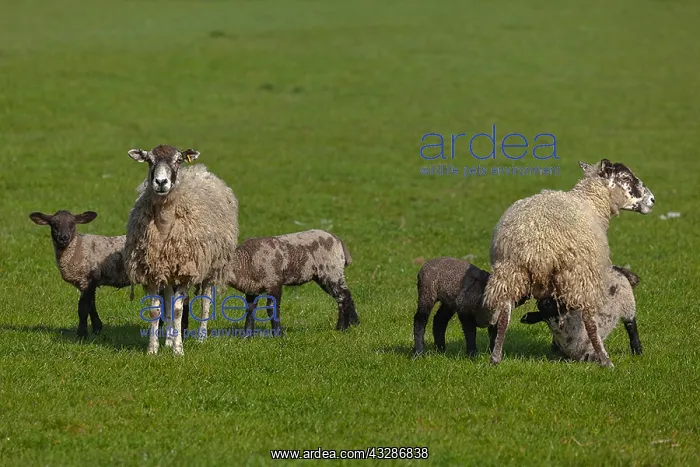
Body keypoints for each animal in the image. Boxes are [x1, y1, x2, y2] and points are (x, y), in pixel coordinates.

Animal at [125, 144, 239, 355]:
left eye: (178, 160)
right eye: (149, 160)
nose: (161, 182)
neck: (164, 224)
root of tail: (199, 170)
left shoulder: (186, 271)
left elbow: (178, 310)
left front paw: (178, 351)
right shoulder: (153, 269)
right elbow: (156, 310)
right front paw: (153, 349)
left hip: (212, 266)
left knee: (205, 301)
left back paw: (201, 337)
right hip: (169, 270)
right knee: (169, 299)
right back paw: (169, 338)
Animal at [225, 229, 358, 335]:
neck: (245, 262)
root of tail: (337, 240)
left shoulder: (274, 281)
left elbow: (272, 308)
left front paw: (278, 335)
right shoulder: (252, 288)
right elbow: (250, 309)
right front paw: (247, 336)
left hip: (332, 271)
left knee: (343, 296)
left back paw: (344, 327)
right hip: (324, 276)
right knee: (343, 296)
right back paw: (353, 323)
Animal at [483, 159, 655, 367]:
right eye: (627, 178)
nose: (652, 200)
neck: (592, 202)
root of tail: (537, 246)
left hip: (510, 273)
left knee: (502, 315)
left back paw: (495, 356)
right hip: (580, 275)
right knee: (590, 321)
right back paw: (605, 360)